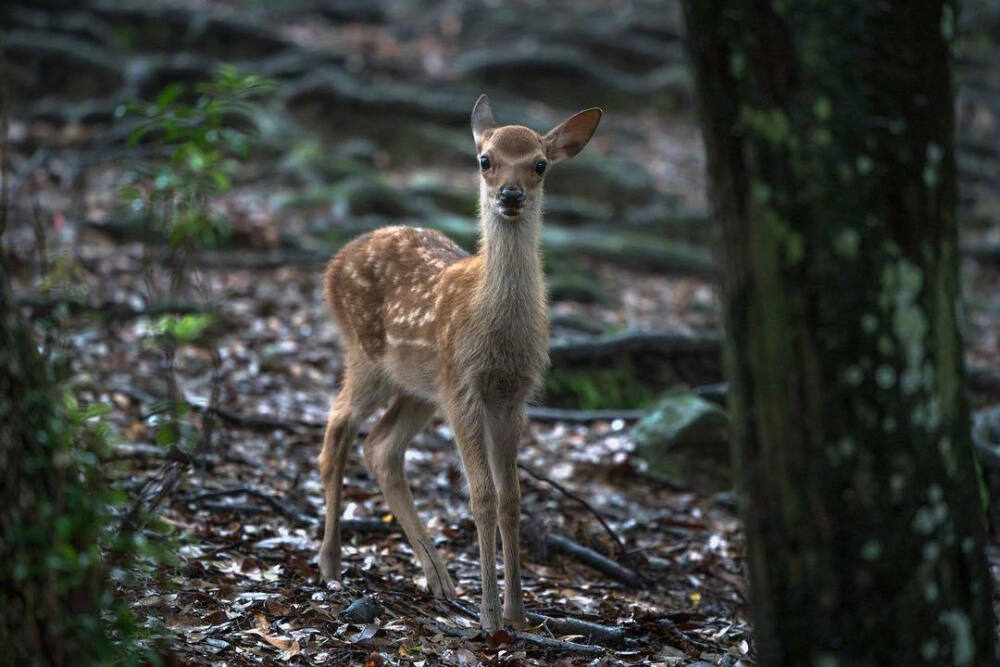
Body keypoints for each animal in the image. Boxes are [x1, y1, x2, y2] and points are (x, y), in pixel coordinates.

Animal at [318, 95, 600, 632]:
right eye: (485, 160)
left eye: (540, 164)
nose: (510, 193)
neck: (495, 323)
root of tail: (333, 263)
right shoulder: (465, 387)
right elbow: (482, 495)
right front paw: (490, 616)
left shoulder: (512, 395)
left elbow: (512, 499)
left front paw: (517, 615)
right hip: (369, 357)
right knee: (338, 425)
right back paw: (330, 562)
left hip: (421, 387)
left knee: (380, 447)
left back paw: (440, 580)